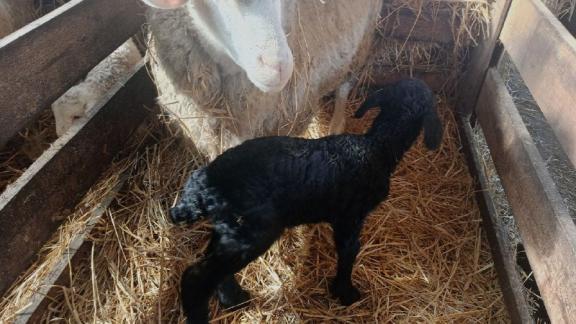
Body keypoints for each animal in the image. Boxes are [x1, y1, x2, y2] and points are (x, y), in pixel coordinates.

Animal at [169, 79, 444, 324]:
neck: (377, 146)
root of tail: (202, 184)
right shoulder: (350, 218)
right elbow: (348, 254)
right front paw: (346, 294)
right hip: (252, 232)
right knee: (195, 276)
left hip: (230, 229)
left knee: (212, 263)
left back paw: (234, 298)